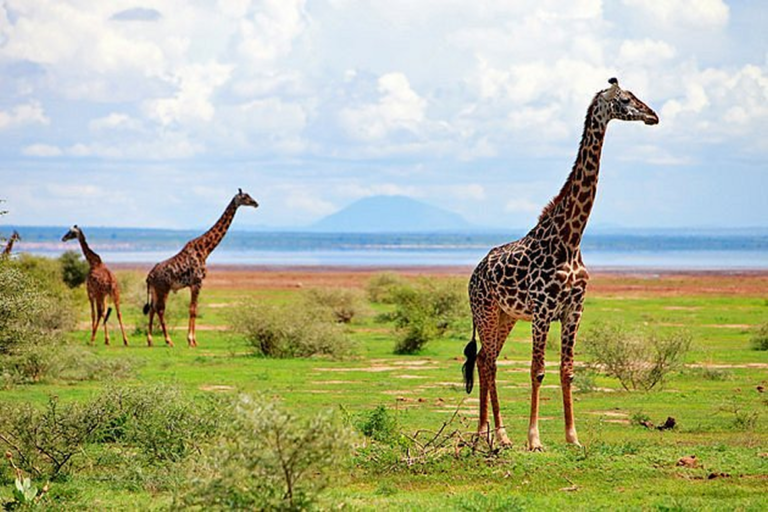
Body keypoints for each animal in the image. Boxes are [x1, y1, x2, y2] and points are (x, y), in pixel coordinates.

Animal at [143, 189, 259, 347]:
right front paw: (191, 340)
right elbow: (192, 309)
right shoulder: (197, 282)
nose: (256, 203)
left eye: (249, 195)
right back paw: (168, 340)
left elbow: (194, 309)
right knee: (160, 310)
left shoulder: (194, 284)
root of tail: (150, 275)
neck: (205, 249)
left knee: (152, 309)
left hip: (155, 290)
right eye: (245, 197)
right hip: (163, 289)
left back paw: (150, 340)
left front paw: (193, 340)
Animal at [463, 78, 658, 451]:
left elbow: (567, 371)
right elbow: (537, 370)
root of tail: (474, 272)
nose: (653, 115)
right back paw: (483, 434)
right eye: (626, 99)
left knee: (485, 359)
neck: (570, 239)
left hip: (507, 316)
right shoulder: (543, 309)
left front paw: (572, 438)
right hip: (486, 311)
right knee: (487, 361)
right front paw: (535, 440)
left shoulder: (574, 309)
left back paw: (501, 435)